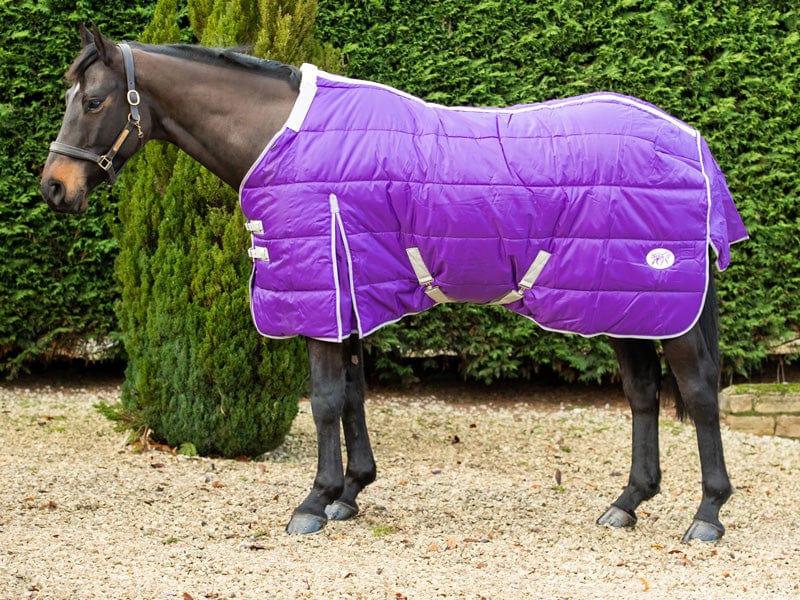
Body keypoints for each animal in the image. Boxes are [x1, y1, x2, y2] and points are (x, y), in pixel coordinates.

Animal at [41, 24, 747, 541]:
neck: (287, 137)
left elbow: (326, 399)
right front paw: (351, 491)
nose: (54, 187)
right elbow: (353, 394)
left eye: (94, 101)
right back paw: (627, 503)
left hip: (665, 307)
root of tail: (692, 140)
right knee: (643, 396)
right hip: (625, 303)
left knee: (699, 394)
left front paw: (314, 501)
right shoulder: (352, 291)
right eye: (68, 98)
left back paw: (707, 516)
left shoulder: (325, 295)